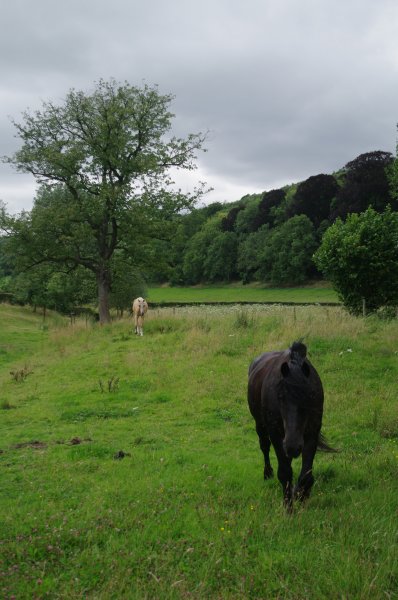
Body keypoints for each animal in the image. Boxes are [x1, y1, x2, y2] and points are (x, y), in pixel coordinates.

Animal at [247, 342, 334, 506]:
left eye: (310, 395)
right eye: (279, 396)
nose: (293, 446)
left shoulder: (312, 433)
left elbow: (306, 475)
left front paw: (301, 496)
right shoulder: (276, 435)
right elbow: (285, 473)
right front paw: (289, 506)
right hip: (260, 425)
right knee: (264, 446)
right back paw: (267, 473)